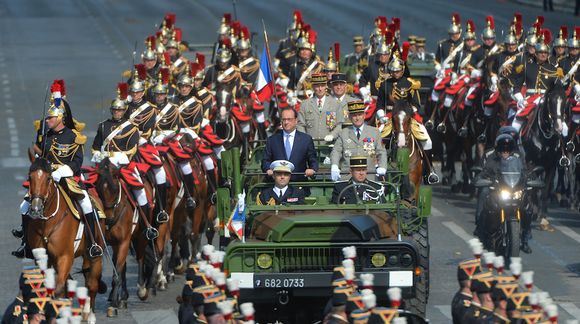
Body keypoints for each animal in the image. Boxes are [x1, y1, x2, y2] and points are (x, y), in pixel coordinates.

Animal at [27, 157, 103, 312]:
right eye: (30, 177)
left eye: (48, 178)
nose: (36, 209)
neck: (47, 221)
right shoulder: (43, 258)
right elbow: (48, 288)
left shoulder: (65, 256)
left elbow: (59, 289)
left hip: (96, 256)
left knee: (92, 284)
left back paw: (89, 310)